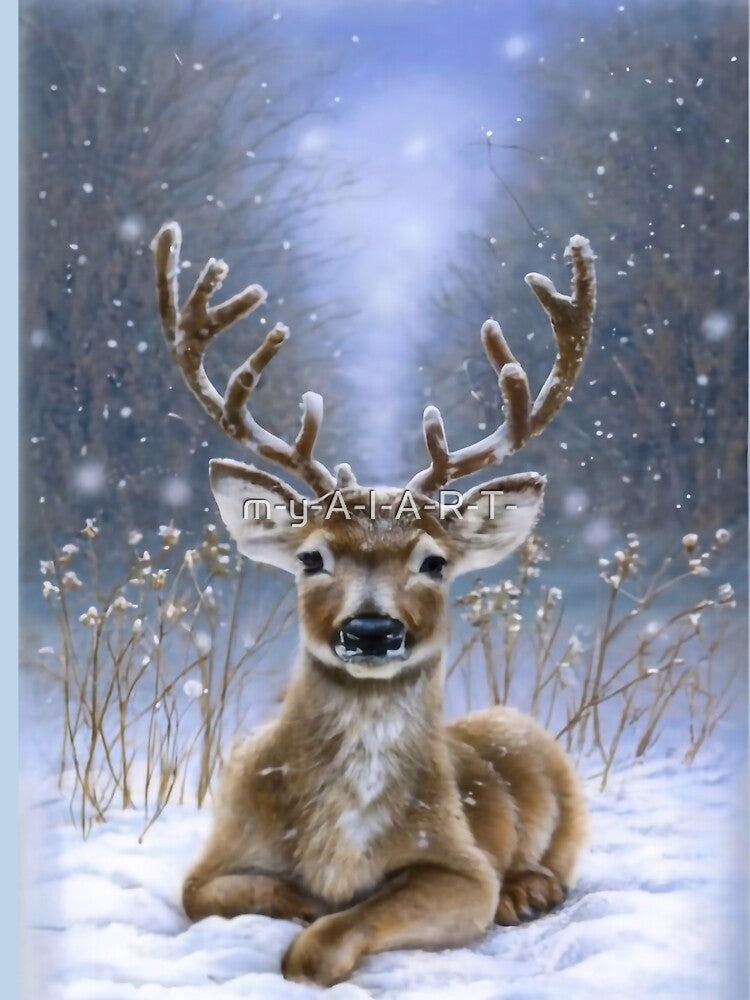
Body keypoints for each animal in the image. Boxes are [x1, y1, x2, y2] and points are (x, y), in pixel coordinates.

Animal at [151, 222, 595, 987]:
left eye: (434, 562)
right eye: (311, 558)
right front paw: (305, 899)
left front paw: (323, 925)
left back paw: (527, 891)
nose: (369, 630)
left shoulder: (461, 866)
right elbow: (217, 893)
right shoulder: (215, 854)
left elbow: (329, 940)